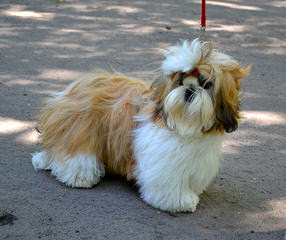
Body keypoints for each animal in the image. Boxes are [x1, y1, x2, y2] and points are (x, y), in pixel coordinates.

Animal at [31, 38, 250, 213]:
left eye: (206, 85)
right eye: (180, 82)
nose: (189, 90)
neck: (184, 124)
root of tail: (69, 91)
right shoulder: (164, 162)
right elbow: (168, 185)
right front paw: (180, 202)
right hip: (81, 130)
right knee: (77, 155)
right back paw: (80, 177)